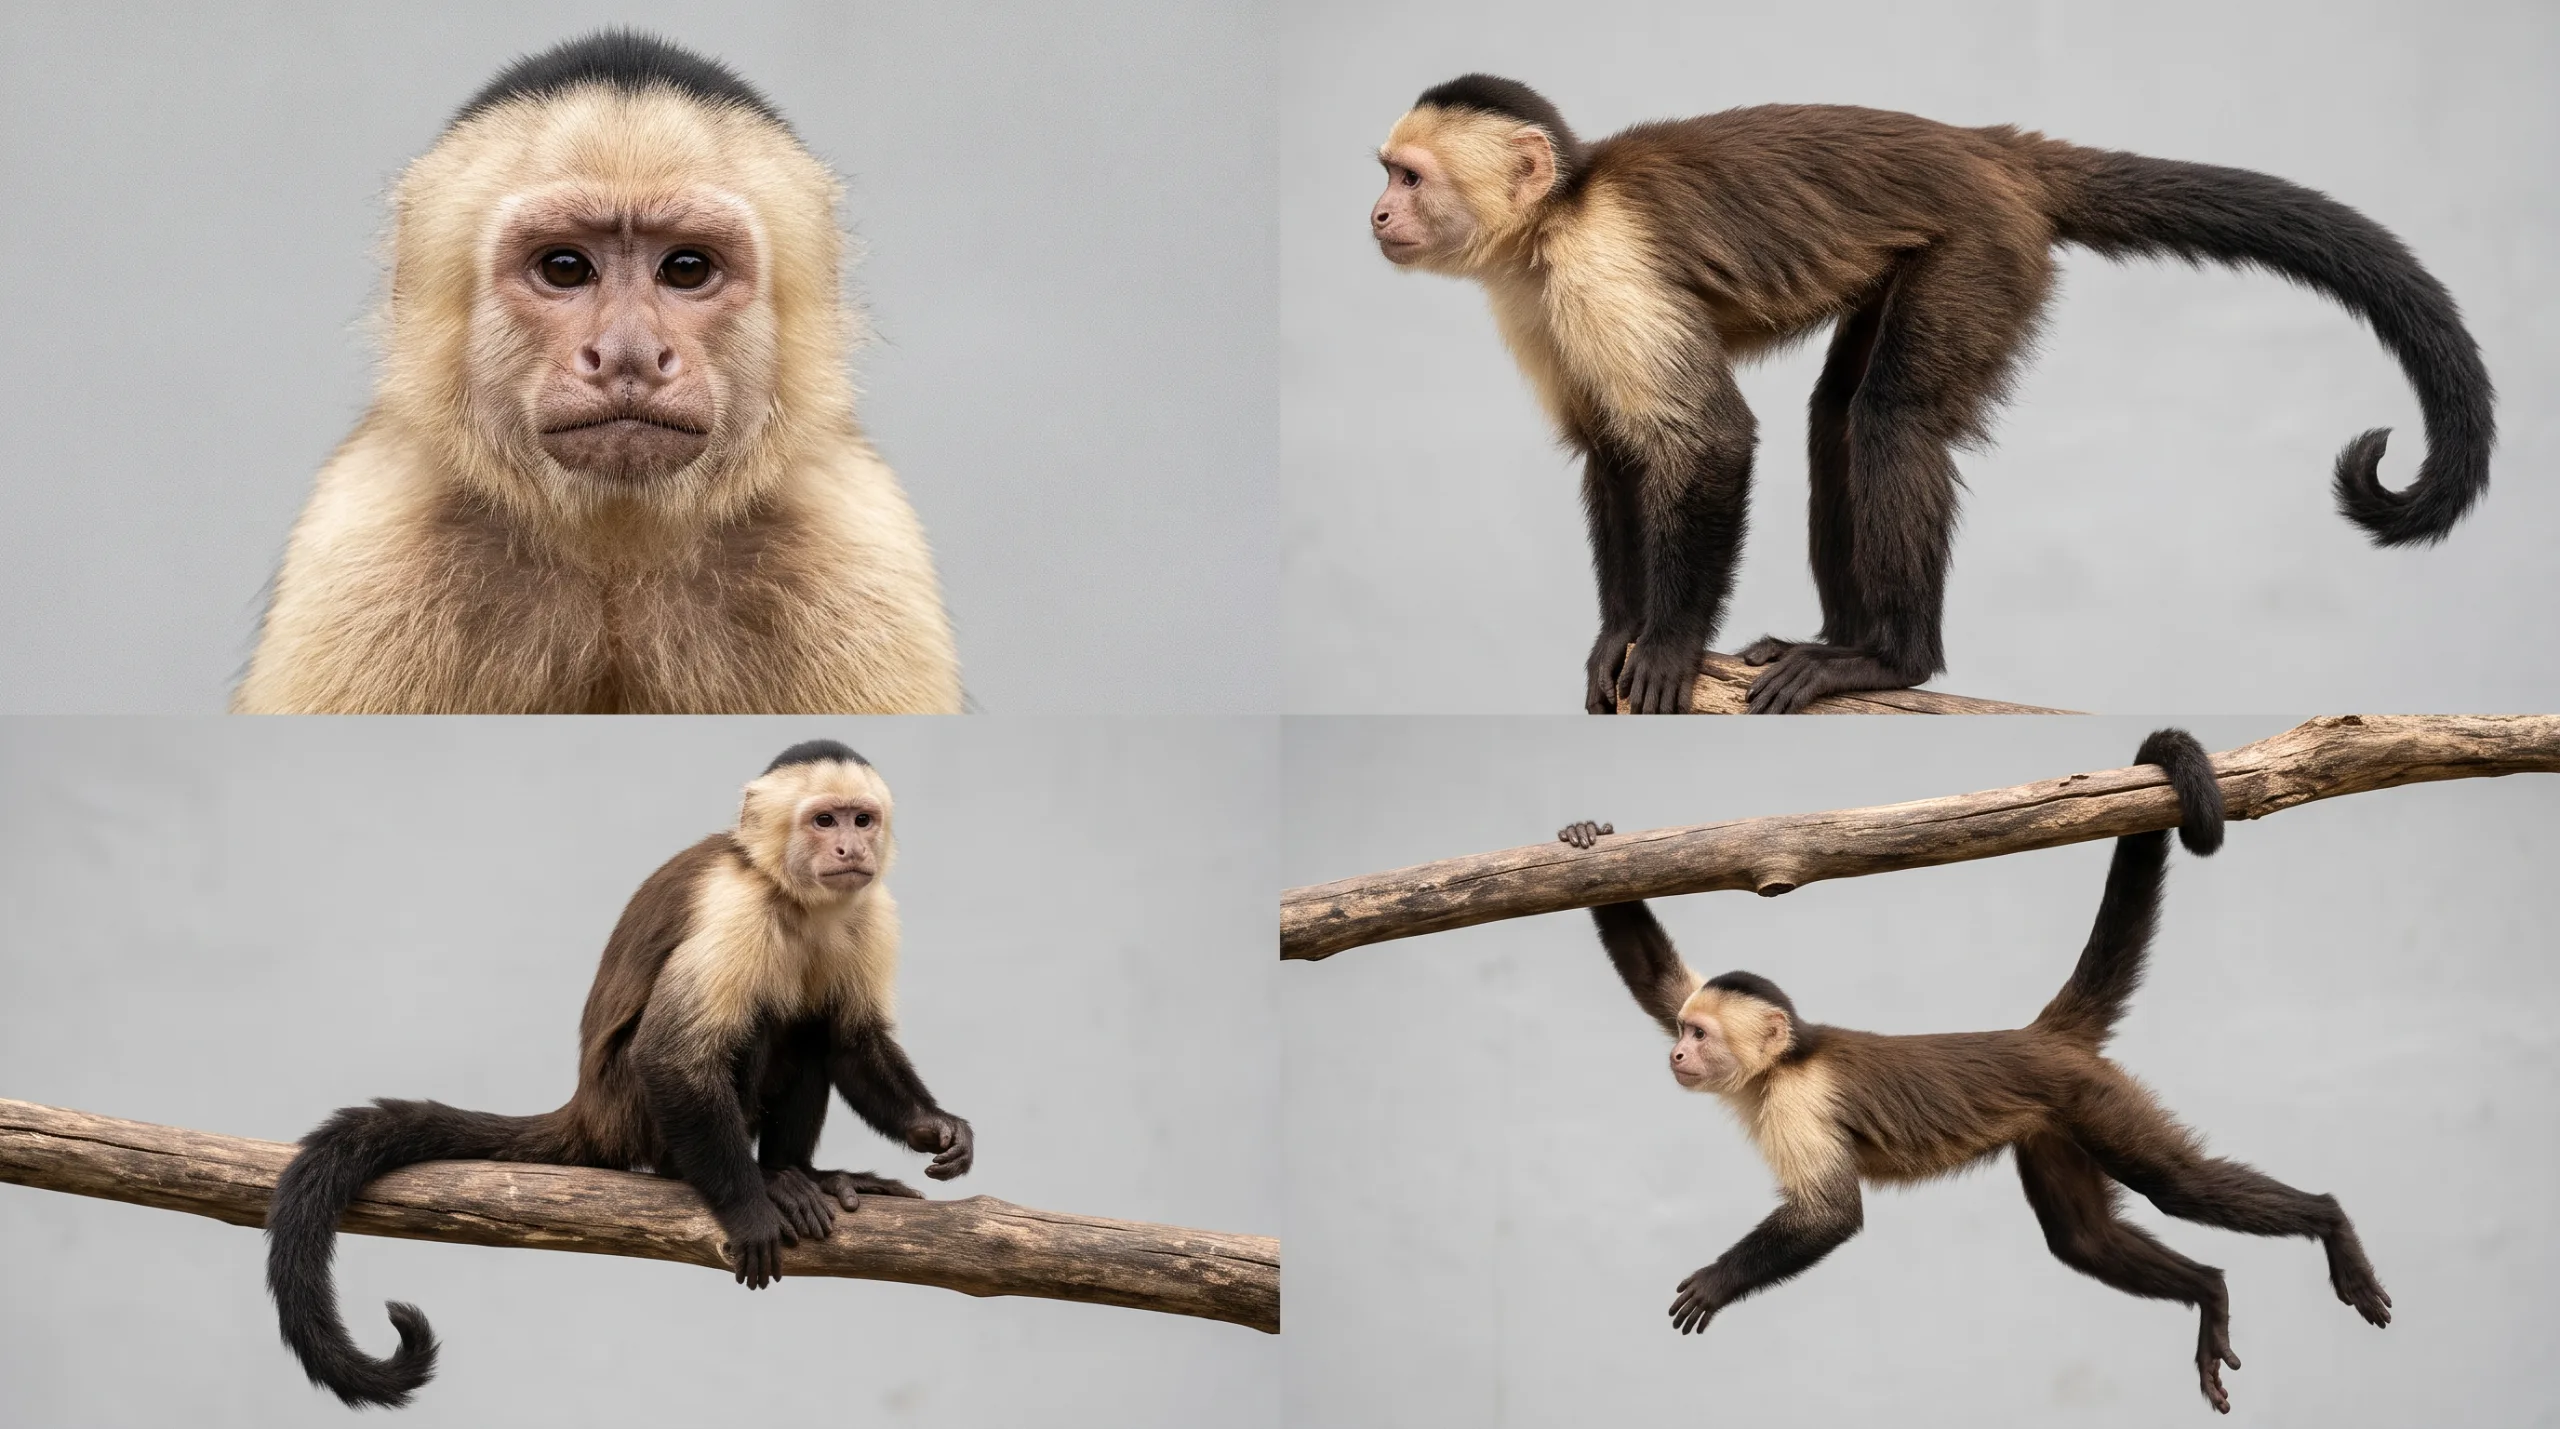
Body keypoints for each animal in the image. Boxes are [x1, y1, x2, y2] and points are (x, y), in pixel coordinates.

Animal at [234, 32, 963, 714]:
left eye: (687, 269)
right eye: (564, 268)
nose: (628, 353)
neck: (615, 558)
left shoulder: (856, 554)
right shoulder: (362, 553)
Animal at [264, 740, 973, 1408]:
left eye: (861, 818)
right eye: (824, 820)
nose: (851, 845)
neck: (792, 896)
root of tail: (588, 1108)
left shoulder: (870, 910)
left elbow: (854, 1041)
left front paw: (936, 1127)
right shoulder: (734, 909)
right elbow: (670, 1057)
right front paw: (749, 1209)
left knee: (812, 1027)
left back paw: (803, 1172)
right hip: (633, 1112)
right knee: (762, 1023)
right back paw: (755, 1178)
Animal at [1373, 76, 2495, 715]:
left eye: (1410, 176)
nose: (1376, 212)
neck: (1556, 219)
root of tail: (1991, 147)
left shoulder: (1602, 266)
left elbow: (1710, 441)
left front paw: (1670, 642)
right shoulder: (1536, 298)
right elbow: (1612, 446)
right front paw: (1619, 632)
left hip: (1981, 246)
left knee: (1889, 421)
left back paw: (1890, 661)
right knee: (1839, 418)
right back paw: (1840, 639)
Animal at [1556, 730, 2389, 1412]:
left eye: (1699, 1036)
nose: (1676, 1053)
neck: (1784, 1062)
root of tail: (2042, 1035)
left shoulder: (1800, 1097)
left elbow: (1831, 1214)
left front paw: (1717, 1281)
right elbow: (1655, 977)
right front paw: (1589, 837)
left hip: (2094, 1097)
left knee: (2175, 1184)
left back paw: (2328, 1221)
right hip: (2054, 1123)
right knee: (2084, 1239)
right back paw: (2210, 1293)